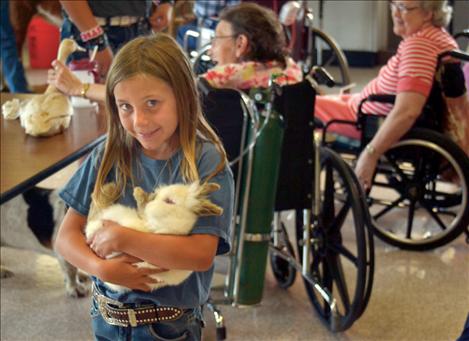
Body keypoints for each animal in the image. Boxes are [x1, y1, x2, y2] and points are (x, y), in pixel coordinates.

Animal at [85, 182, 222, 290]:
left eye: (169, 201)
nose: (152, 197)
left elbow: (142, 209)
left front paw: (138, 192)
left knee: (94, 213)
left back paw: (110, 188)